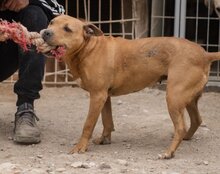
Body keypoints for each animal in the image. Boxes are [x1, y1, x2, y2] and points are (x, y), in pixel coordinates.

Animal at [40, 14, 220, 159]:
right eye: (51, 22)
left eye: (67, 29)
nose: (45, 32)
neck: (87, 49)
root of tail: (205, 54)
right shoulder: (104, 97)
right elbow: (107, 121)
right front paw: (105, 139)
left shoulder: (97, 96)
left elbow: (88, 124)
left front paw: (80, 147)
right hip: (188, 98)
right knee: (196, 120)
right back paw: (185, 139)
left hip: (174, 97)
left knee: (181, 127)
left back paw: (169, 152)